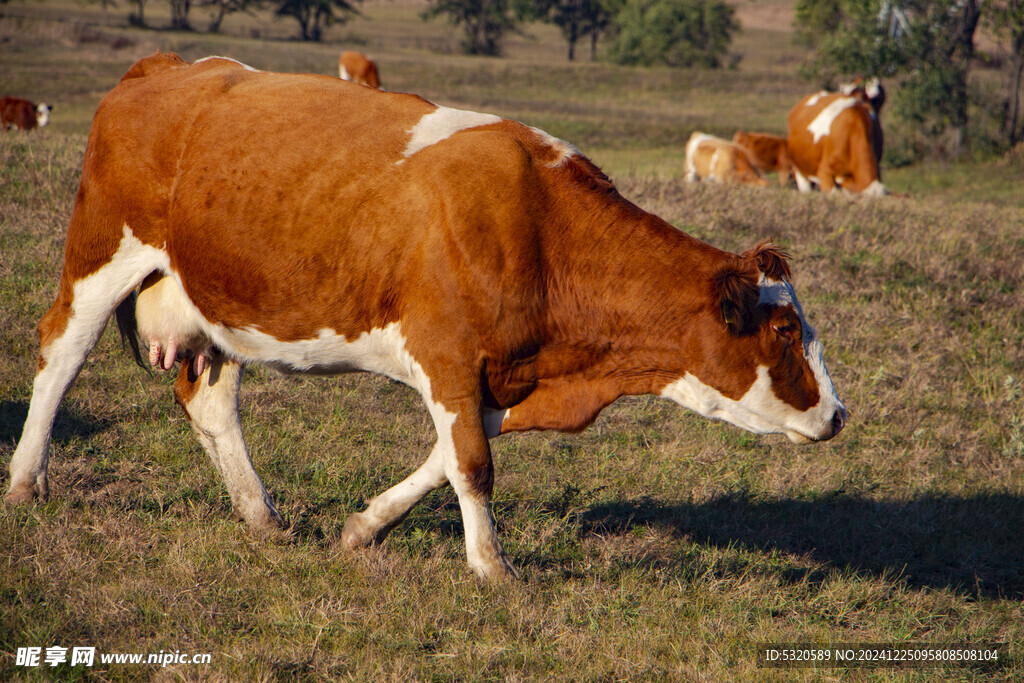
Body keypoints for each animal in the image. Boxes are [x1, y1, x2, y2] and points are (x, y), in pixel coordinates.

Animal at [2, 53, 847, 581]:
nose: (839, 414)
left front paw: (363, 528)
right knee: (59, 353)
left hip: (214, 301)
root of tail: (172, 67)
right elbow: (472, 462)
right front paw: (493, 567)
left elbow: (450, 454)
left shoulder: (498, 371)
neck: (539, 224)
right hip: (101, 254)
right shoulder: (447, 352)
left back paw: (261, 515)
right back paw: (26, 481)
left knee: (209, 400)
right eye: (783, 331)